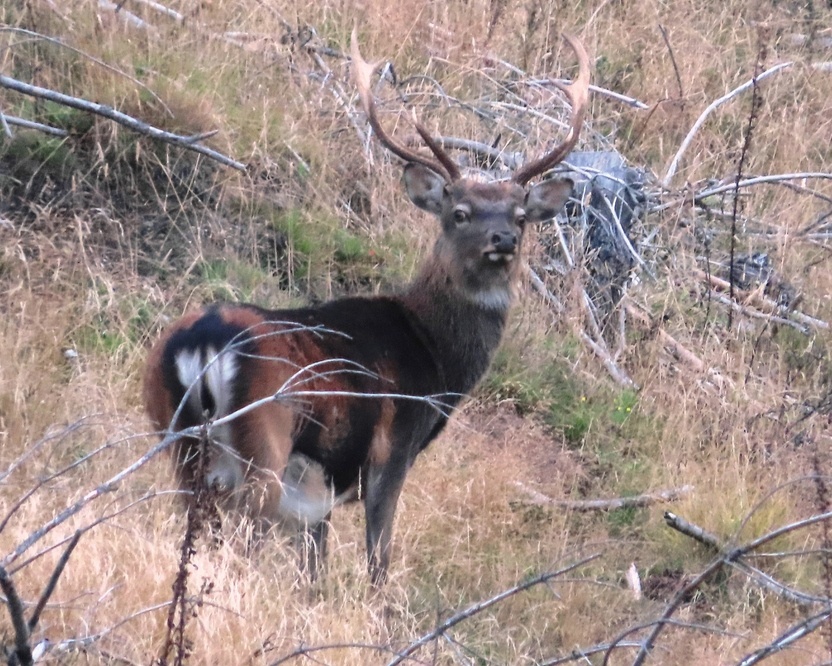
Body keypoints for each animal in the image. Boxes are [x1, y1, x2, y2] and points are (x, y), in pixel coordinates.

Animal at [143, 31, 588, 584]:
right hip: (263, 439)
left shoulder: (320, 491)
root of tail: (202, 343)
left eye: (521, 215)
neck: (436, 360)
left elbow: (315, 567)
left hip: (173, 435)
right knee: (246, 535)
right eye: (459, 213)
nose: (502, 239)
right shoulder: (393, 447)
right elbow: (379, 556)